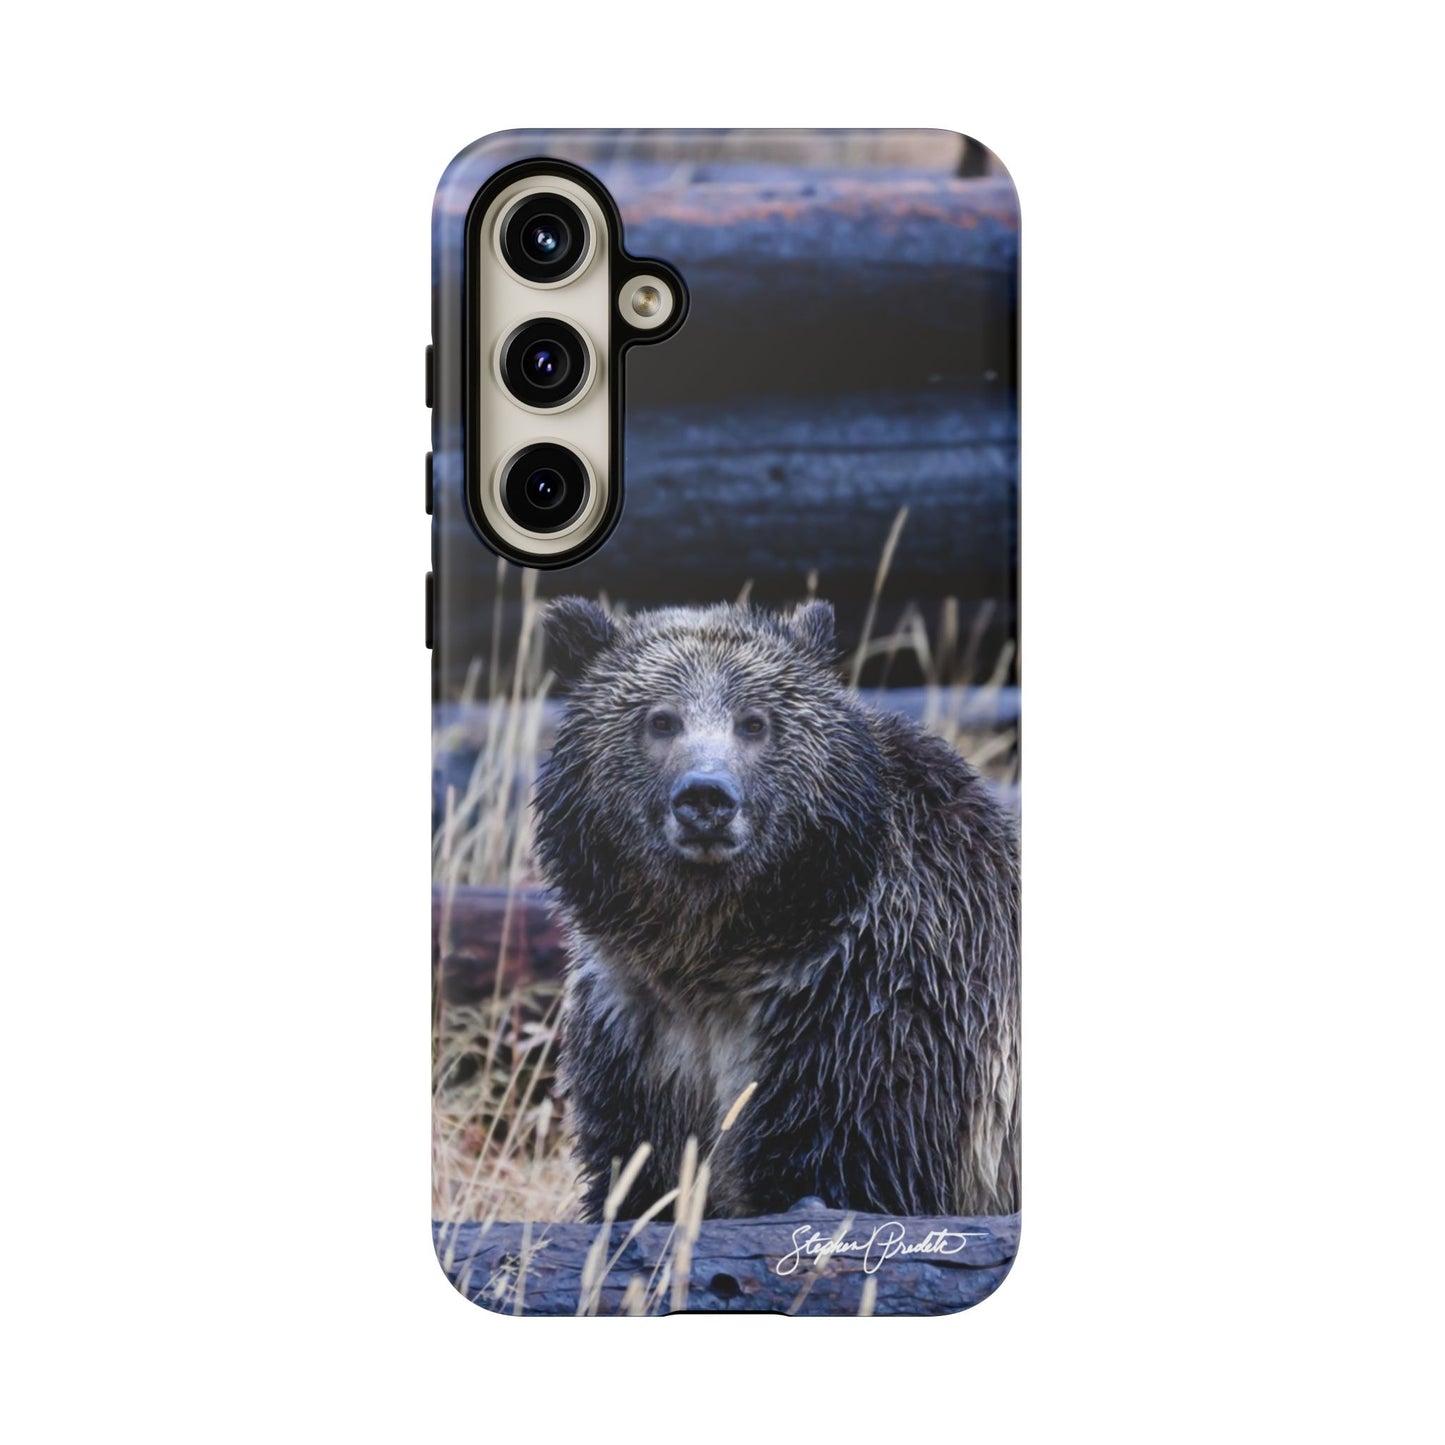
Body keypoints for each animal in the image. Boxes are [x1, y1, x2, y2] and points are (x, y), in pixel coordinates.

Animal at [533, 597, 1020, 1222]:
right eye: (661, 720)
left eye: (754, 722)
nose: (706, 797)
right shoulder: (637, 1029)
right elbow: (634, 1173)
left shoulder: (873, 1010)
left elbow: (847, 1164)